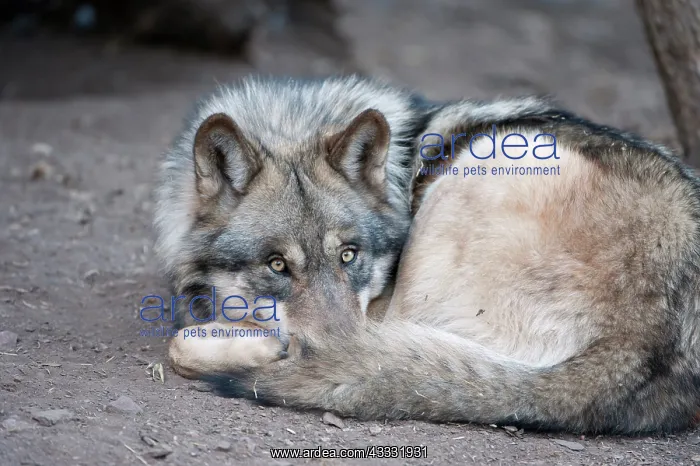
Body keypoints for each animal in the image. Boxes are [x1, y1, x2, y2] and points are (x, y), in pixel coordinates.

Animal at [154, 76, 700, 434]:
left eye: (349, 255)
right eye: (277, 265)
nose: (336, 345)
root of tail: (647, 339)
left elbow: (180, 343)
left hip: (481, 168)